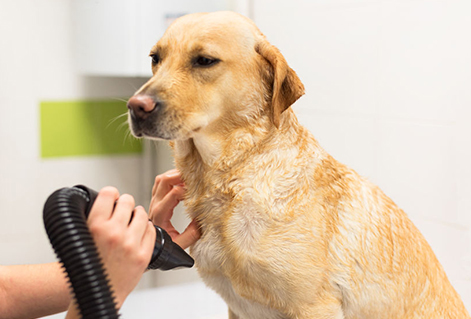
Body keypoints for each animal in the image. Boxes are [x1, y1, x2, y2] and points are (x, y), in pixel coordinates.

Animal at [127, 10, 470, 319]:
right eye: (155, 59)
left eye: (204, 60)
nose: (135, 107)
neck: (236, 173)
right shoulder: (236, 307)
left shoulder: (315, 307)